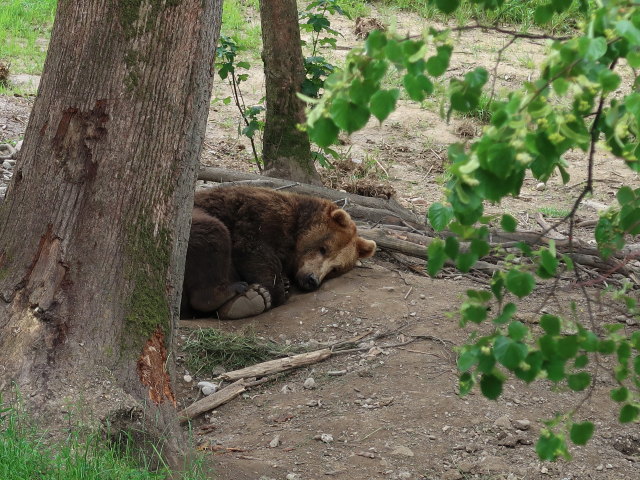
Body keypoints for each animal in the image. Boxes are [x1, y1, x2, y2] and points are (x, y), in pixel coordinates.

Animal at [180, 187, 378, 318]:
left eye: (335, 269)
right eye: (324, 248)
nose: (312, 280)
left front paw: (284, 283)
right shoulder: (258, 215)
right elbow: (252, 250)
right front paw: (277, 289)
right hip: (193, 218)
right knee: (212, 230)